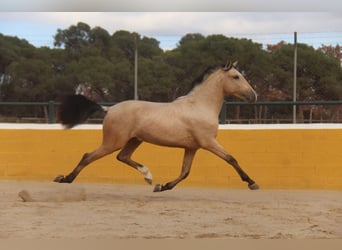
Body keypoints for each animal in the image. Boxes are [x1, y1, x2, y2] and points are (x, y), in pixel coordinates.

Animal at [54, 61, 260, 192]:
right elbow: (231, 159)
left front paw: (162, 187)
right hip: (113, 142)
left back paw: (148, 176)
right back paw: (65, 179)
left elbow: (185, 172)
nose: (253, 96)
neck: (200, 106)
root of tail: (109, 109)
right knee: (88, 156)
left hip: (134, 140)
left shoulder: (192, 147)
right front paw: (252, 183)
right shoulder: (208, 142)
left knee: (122, 157)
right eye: (236, 76)